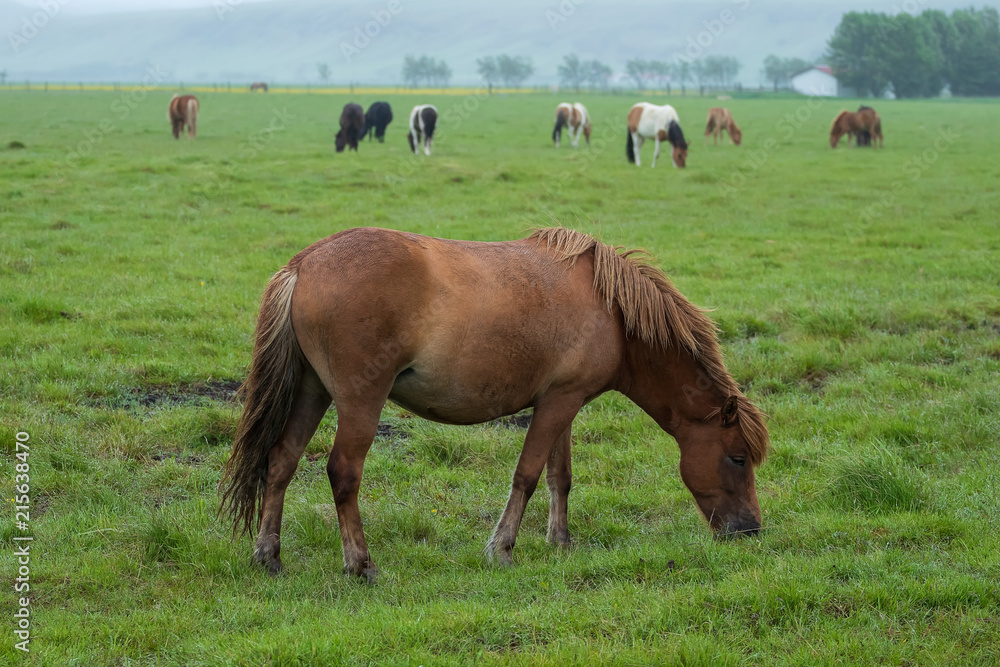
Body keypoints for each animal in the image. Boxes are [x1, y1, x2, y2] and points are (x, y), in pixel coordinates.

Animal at [219, 227, 764, 580]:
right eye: (737, 458)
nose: (751, 530)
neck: (610, 309)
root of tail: (303, 264)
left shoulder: (563, 404)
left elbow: (559, 476)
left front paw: (560, 542)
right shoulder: (557, 404)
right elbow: (527, 476)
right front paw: (502, 548)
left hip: (312, 392)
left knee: (281, 461)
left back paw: (269, 556)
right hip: (359, 403)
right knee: (343, 473)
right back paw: (361, 564)